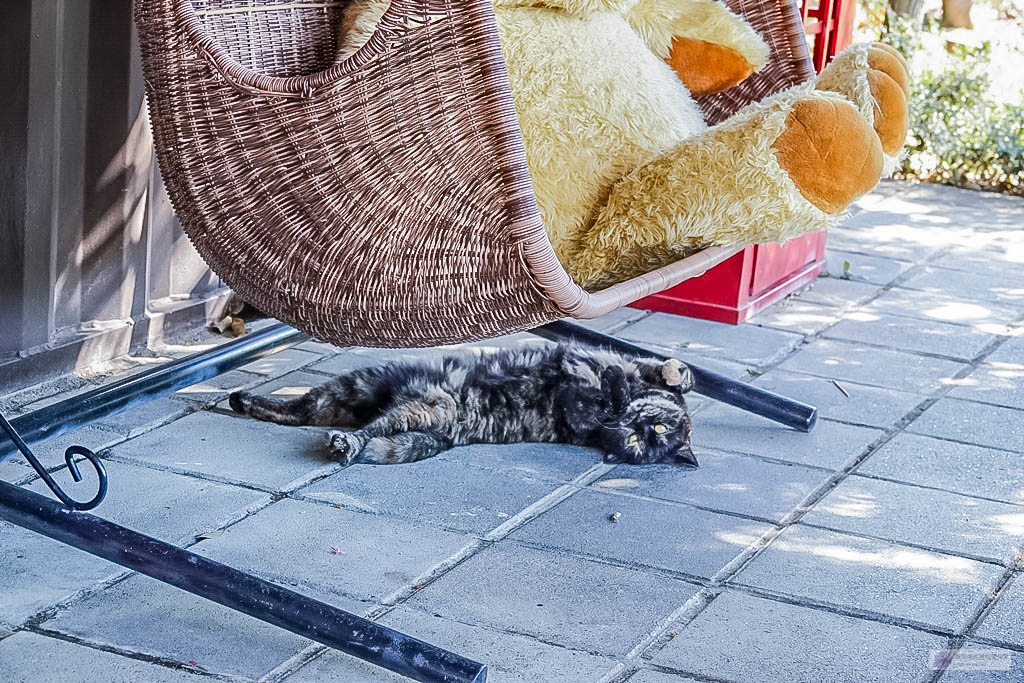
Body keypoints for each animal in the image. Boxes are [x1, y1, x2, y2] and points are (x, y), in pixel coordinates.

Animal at [231, 344, 696, 466]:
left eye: (642, 445)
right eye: (655, 431)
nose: (635, 432)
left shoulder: (578, 413)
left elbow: (600, 393)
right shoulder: (611, 365)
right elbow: (672, 372)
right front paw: (674, 375)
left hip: (414, 410)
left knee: (363, 429)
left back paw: (346, 445)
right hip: (360, 386)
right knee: (303, 410)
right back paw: (243, 400)